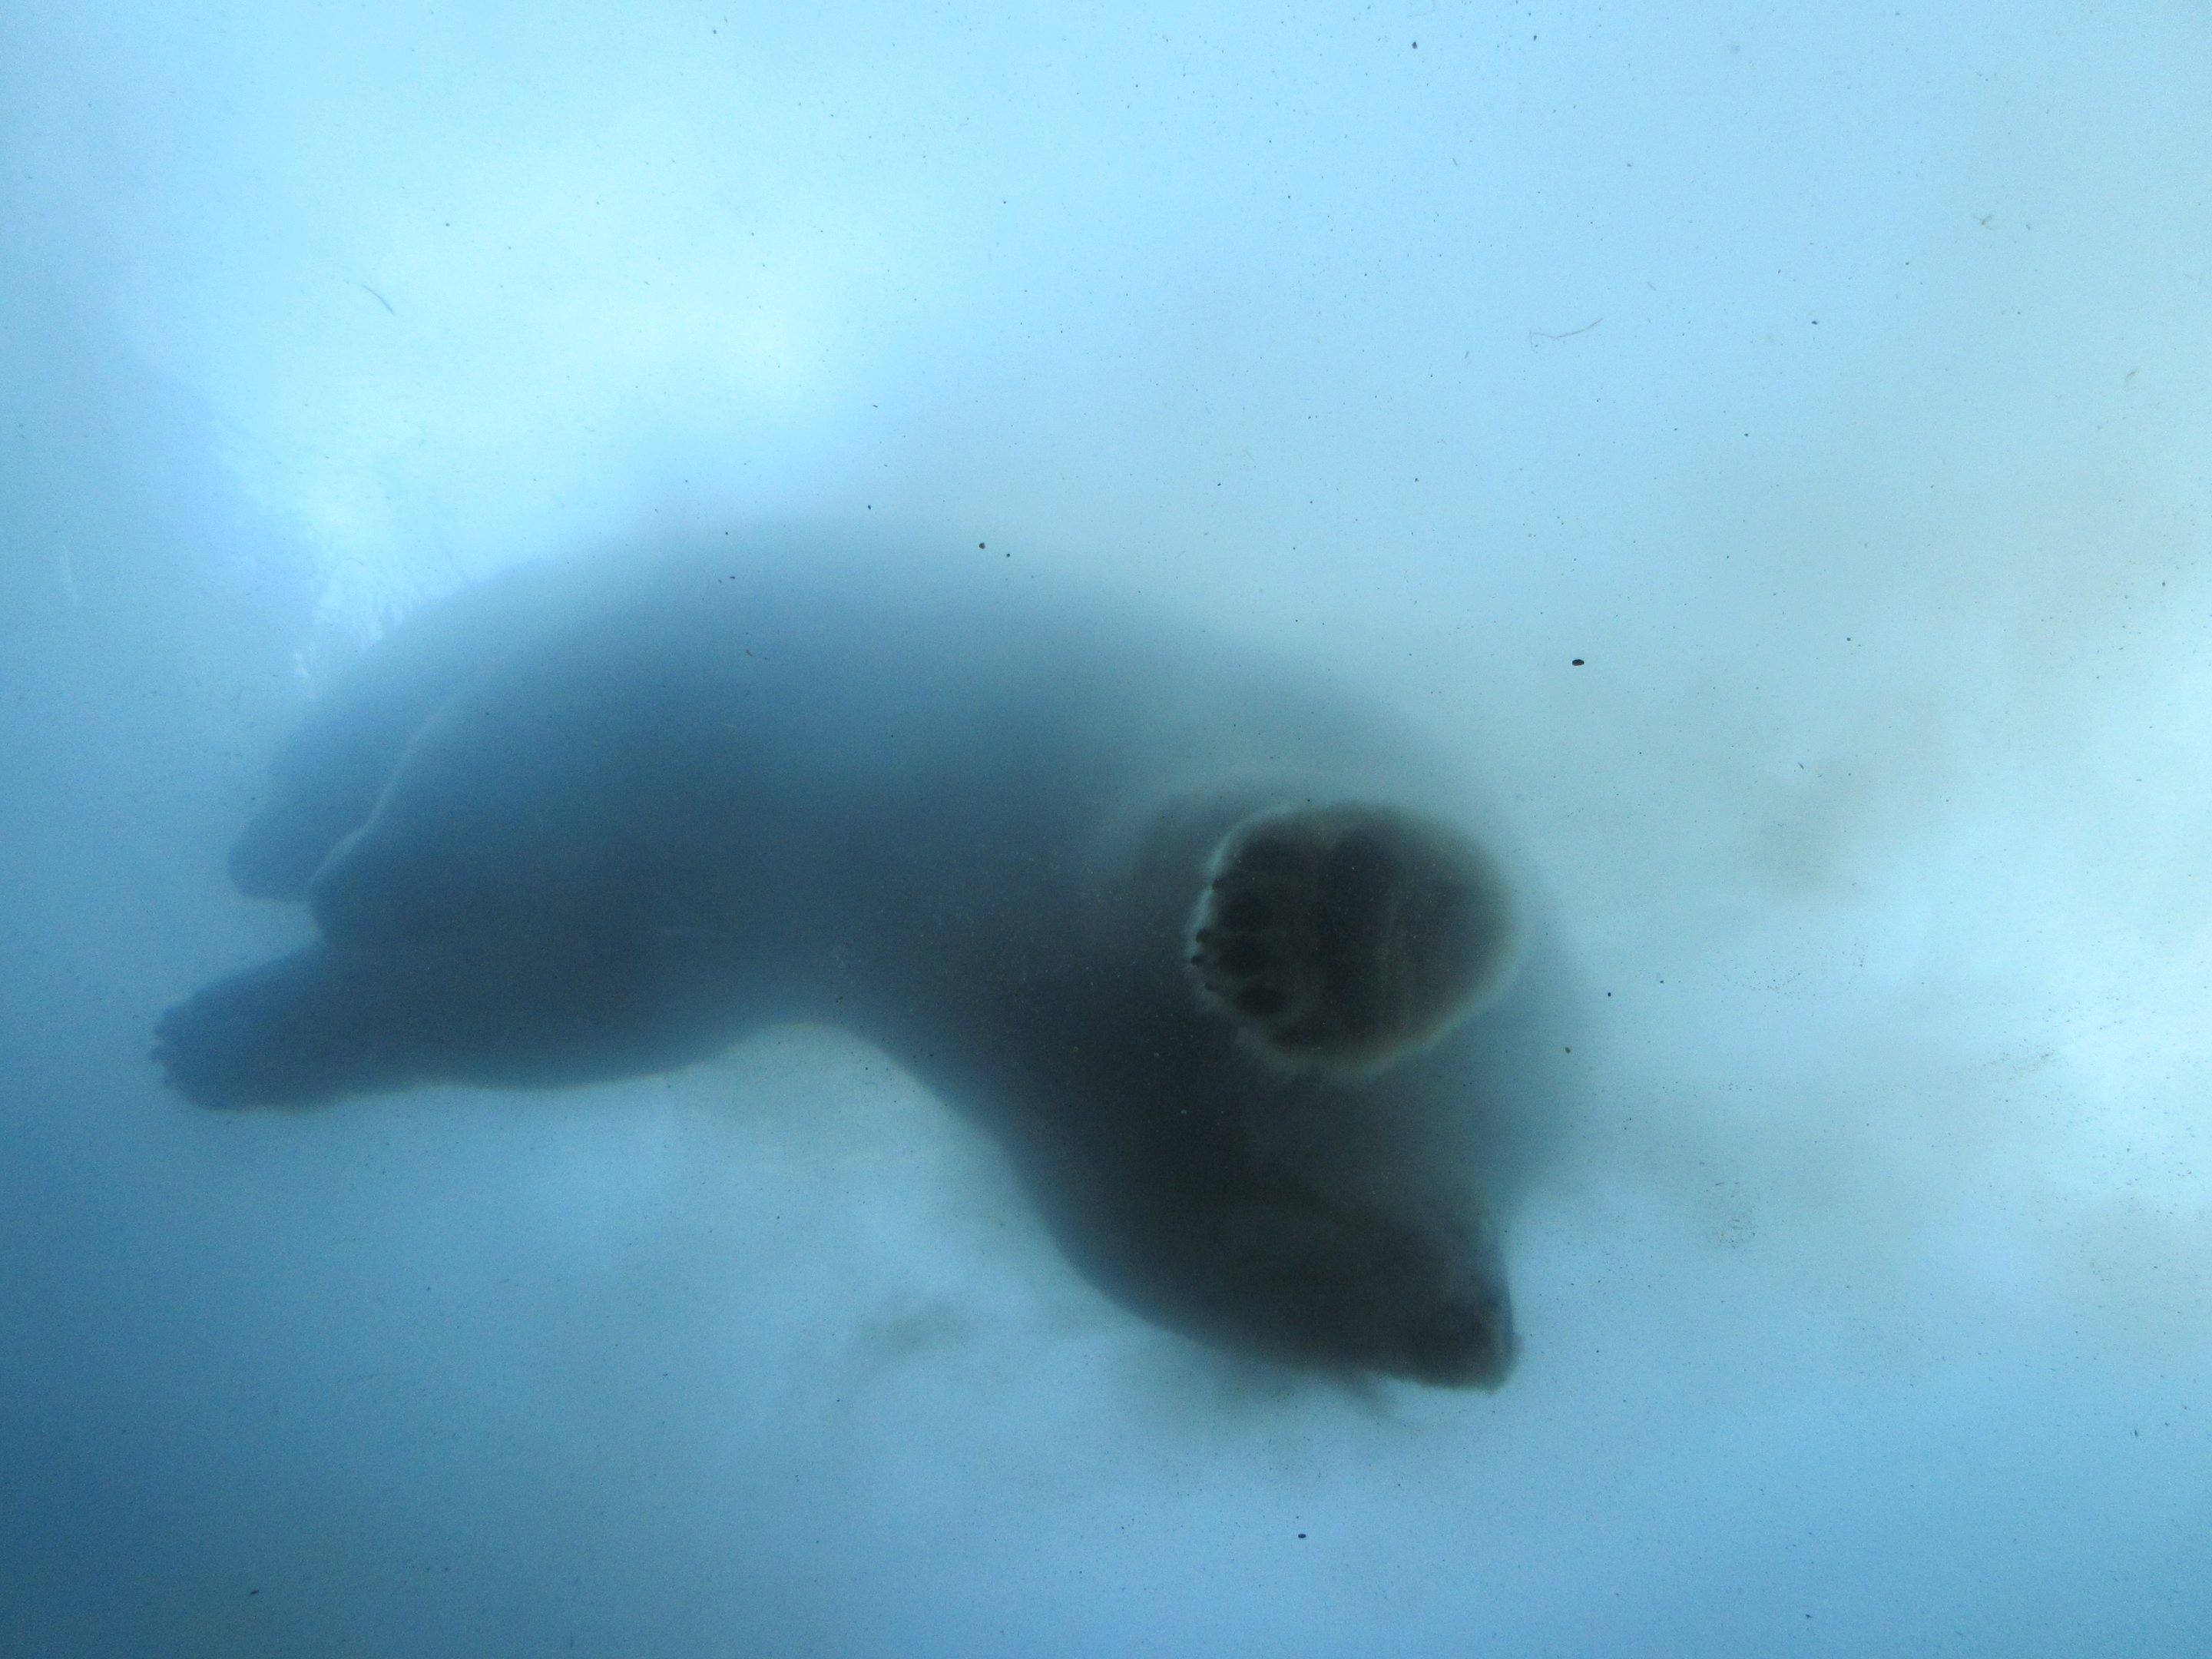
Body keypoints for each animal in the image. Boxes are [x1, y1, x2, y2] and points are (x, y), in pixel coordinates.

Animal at [155, 533, 1558, 1388]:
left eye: (281, 765)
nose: (240, 852)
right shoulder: (741, 893)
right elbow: (569, 998)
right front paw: (223, 1037)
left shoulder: (758, 656)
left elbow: (526, 732)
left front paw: (371, 881)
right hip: (1117, 1112)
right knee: (1183, 1236)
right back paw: (1444, 1308)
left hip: (1172, 764)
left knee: (1212, 850)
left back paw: (1341, 921)